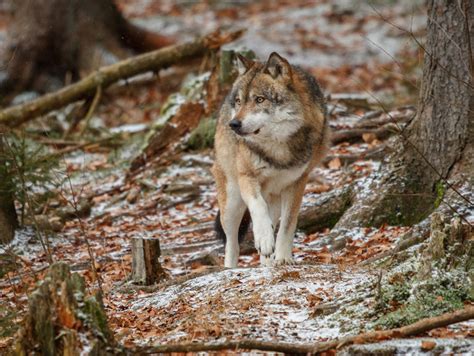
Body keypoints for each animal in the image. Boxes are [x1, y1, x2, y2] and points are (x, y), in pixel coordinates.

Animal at [212, 52, 328, 268]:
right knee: (232, 242)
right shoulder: (246, 177)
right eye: (239, 101)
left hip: (272, 197)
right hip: (232, 202)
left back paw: (266, 264)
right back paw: (231, 267)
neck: (277, 149)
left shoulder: (297, 183)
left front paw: (283, 258)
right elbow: (258, 207)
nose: (234, 124)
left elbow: (288, 225)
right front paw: (265, 240)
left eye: (259, 99)